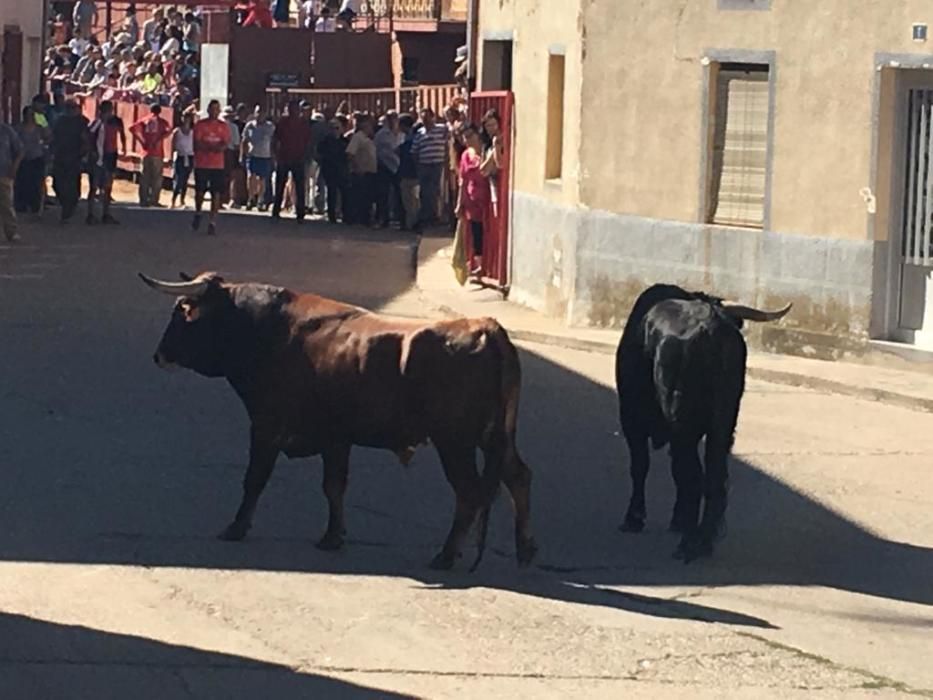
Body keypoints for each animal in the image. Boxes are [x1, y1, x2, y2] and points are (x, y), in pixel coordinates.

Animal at [142, 270, 544, 572]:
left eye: (182, 311)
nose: (158, 355)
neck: (265, 330)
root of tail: (484, 328)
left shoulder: (267, 426)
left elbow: (255, 479)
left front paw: (236, 526)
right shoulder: (336, 437)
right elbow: (334, 486)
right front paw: (332, 537)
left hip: (455, 442)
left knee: (469, 492)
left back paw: (446, 555)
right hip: (496, 437)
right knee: (518, 477)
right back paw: (525, 550)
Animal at [616, 282, 792, 560]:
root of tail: (710, 325)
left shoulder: (632, 419)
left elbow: (641, 466)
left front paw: (634, 518)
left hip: (681, 421)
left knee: (693, 475)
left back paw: (688, 545)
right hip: (723, 423)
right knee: (714, 476)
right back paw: (704, 541)